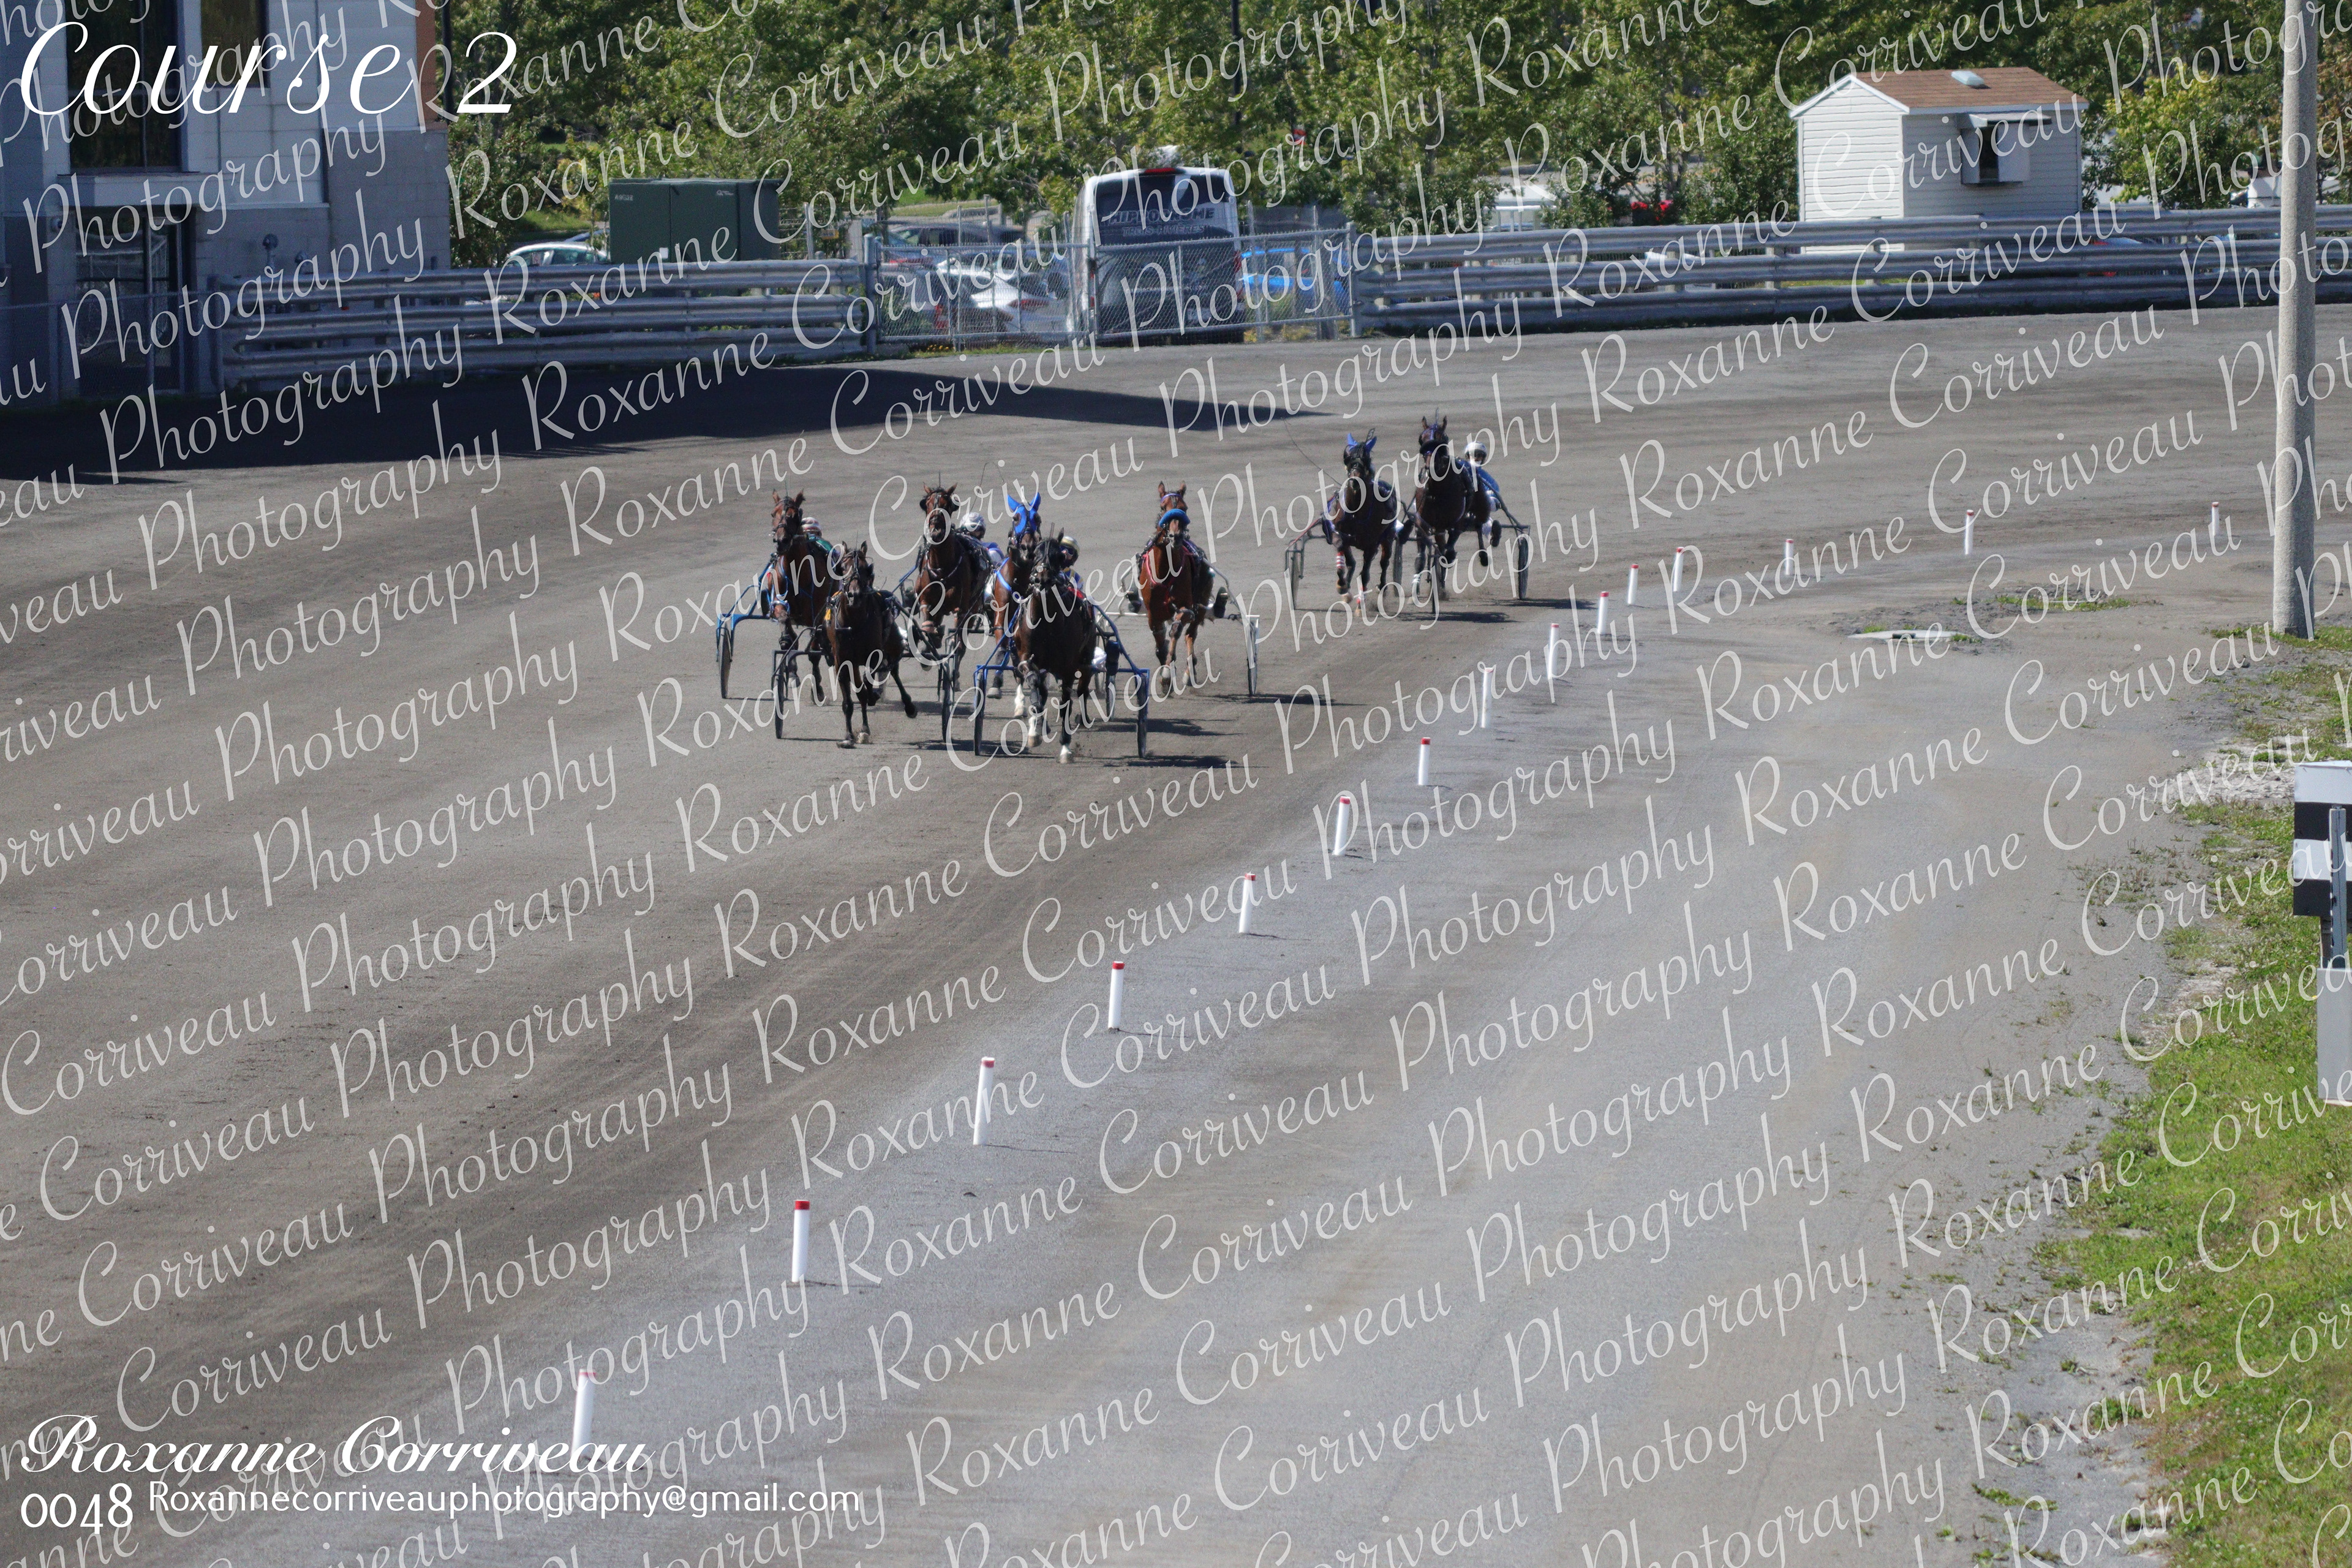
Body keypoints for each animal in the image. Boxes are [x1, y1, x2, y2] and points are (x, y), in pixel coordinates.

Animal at [822, 541, 917, 744]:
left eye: (867, 568)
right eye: (842, 568)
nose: (854, 595)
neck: (854, 622)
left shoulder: (875, 654)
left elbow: (869, 680)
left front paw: (874, 696)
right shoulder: (842, 661)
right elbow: (850, 700)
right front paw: (850, 735)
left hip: (892, 643)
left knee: (894, 669)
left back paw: (908, 705)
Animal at [1015, 532, 1100, 762]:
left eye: (1058, 556)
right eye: (1034, 553)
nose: (1042, 579)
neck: (1046, 622)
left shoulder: (1069, 668)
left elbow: (1066, 701)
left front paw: (1066, 748)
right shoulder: (1027, 657)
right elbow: (1035, 687)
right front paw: (1035, 732)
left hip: (1086, 658)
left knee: (1081, 691)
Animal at [1135, 483, 1215, 692]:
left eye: (1184, 508)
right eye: (1163, 508)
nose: (1176, 536)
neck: (1165, 571)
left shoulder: (1186, 608)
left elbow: (1176, 631)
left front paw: (1166, 676)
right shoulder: (1153, 614)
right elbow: (1160, 643)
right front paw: (1167, 673)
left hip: (1201, 603)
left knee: (1190, 634)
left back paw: (1190, 671)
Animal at [1326, 433, 1397, 600]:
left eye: (1366, 461)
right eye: (1349, 461)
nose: (1355, 482)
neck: (1356, 513)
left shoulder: (1372, 544)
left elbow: (1365, 574)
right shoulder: (1340, 534)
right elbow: (1343, 557)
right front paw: (1342, 586)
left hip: (1388, 536)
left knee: (1385, 562)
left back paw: (1382, 587)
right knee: (1352, 562)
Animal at [1410, 416, 1491, 580]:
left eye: (1444, 439)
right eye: (1422, 439)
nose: (1431, 466)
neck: (1437, 491)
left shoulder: (1453, 523)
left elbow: (1447, 550)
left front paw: (1448, 558)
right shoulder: (1422, 523)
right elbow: (1421, 559)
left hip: (1481, 507)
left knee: (1479, 525)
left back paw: (1482, 555)